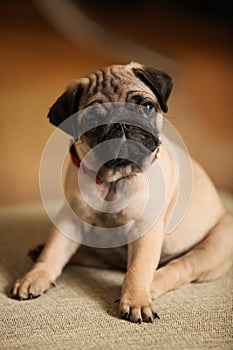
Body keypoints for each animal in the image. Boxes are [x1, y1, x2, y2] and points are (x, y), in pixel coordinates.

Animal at [11, 62, 233, 322]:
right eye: (93, 120)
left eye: (146, 106)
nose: (122, 123)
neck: (112, 180)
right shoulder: (70, 220)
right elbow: (54, 251)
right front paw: (35, 276)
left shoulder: (145, 229)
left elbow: (138, 269)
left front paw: (136, 299)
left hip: (216, 245)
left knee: (179, 268)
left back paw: (152, 286)